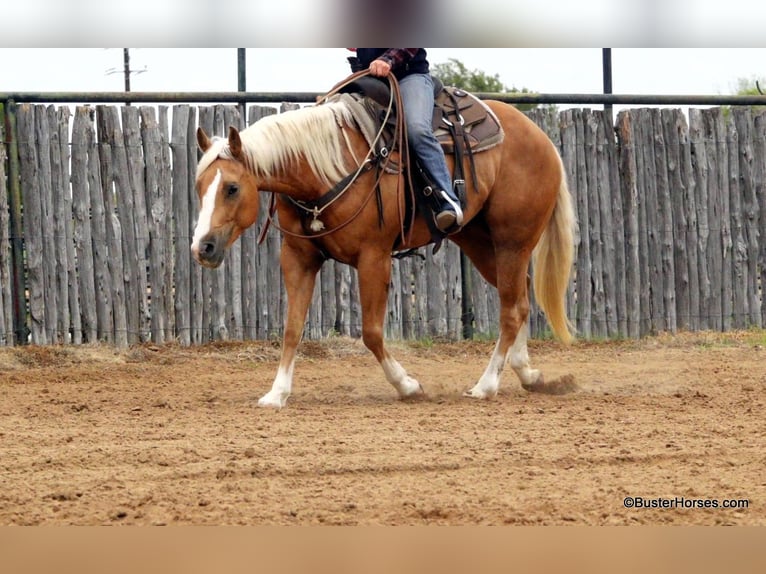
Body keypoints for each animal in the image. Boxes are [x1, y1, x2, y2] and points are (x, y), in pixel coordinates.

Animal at [192, 86, 576, 410]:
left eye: (231, 188)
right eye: (199, 185)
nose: (203, 247)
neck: (324, 169)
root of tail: (541, 138)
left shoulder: (373, 258)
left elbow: (372, 333)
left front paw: (408, 385)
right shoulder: (298, 259)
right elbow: (292, 328)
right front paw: (277, 393)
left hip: (512, 241)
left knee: (511, 310)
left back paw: (486, 385)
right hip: (479, 240)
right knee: (520, 299)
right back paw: (529, 374)